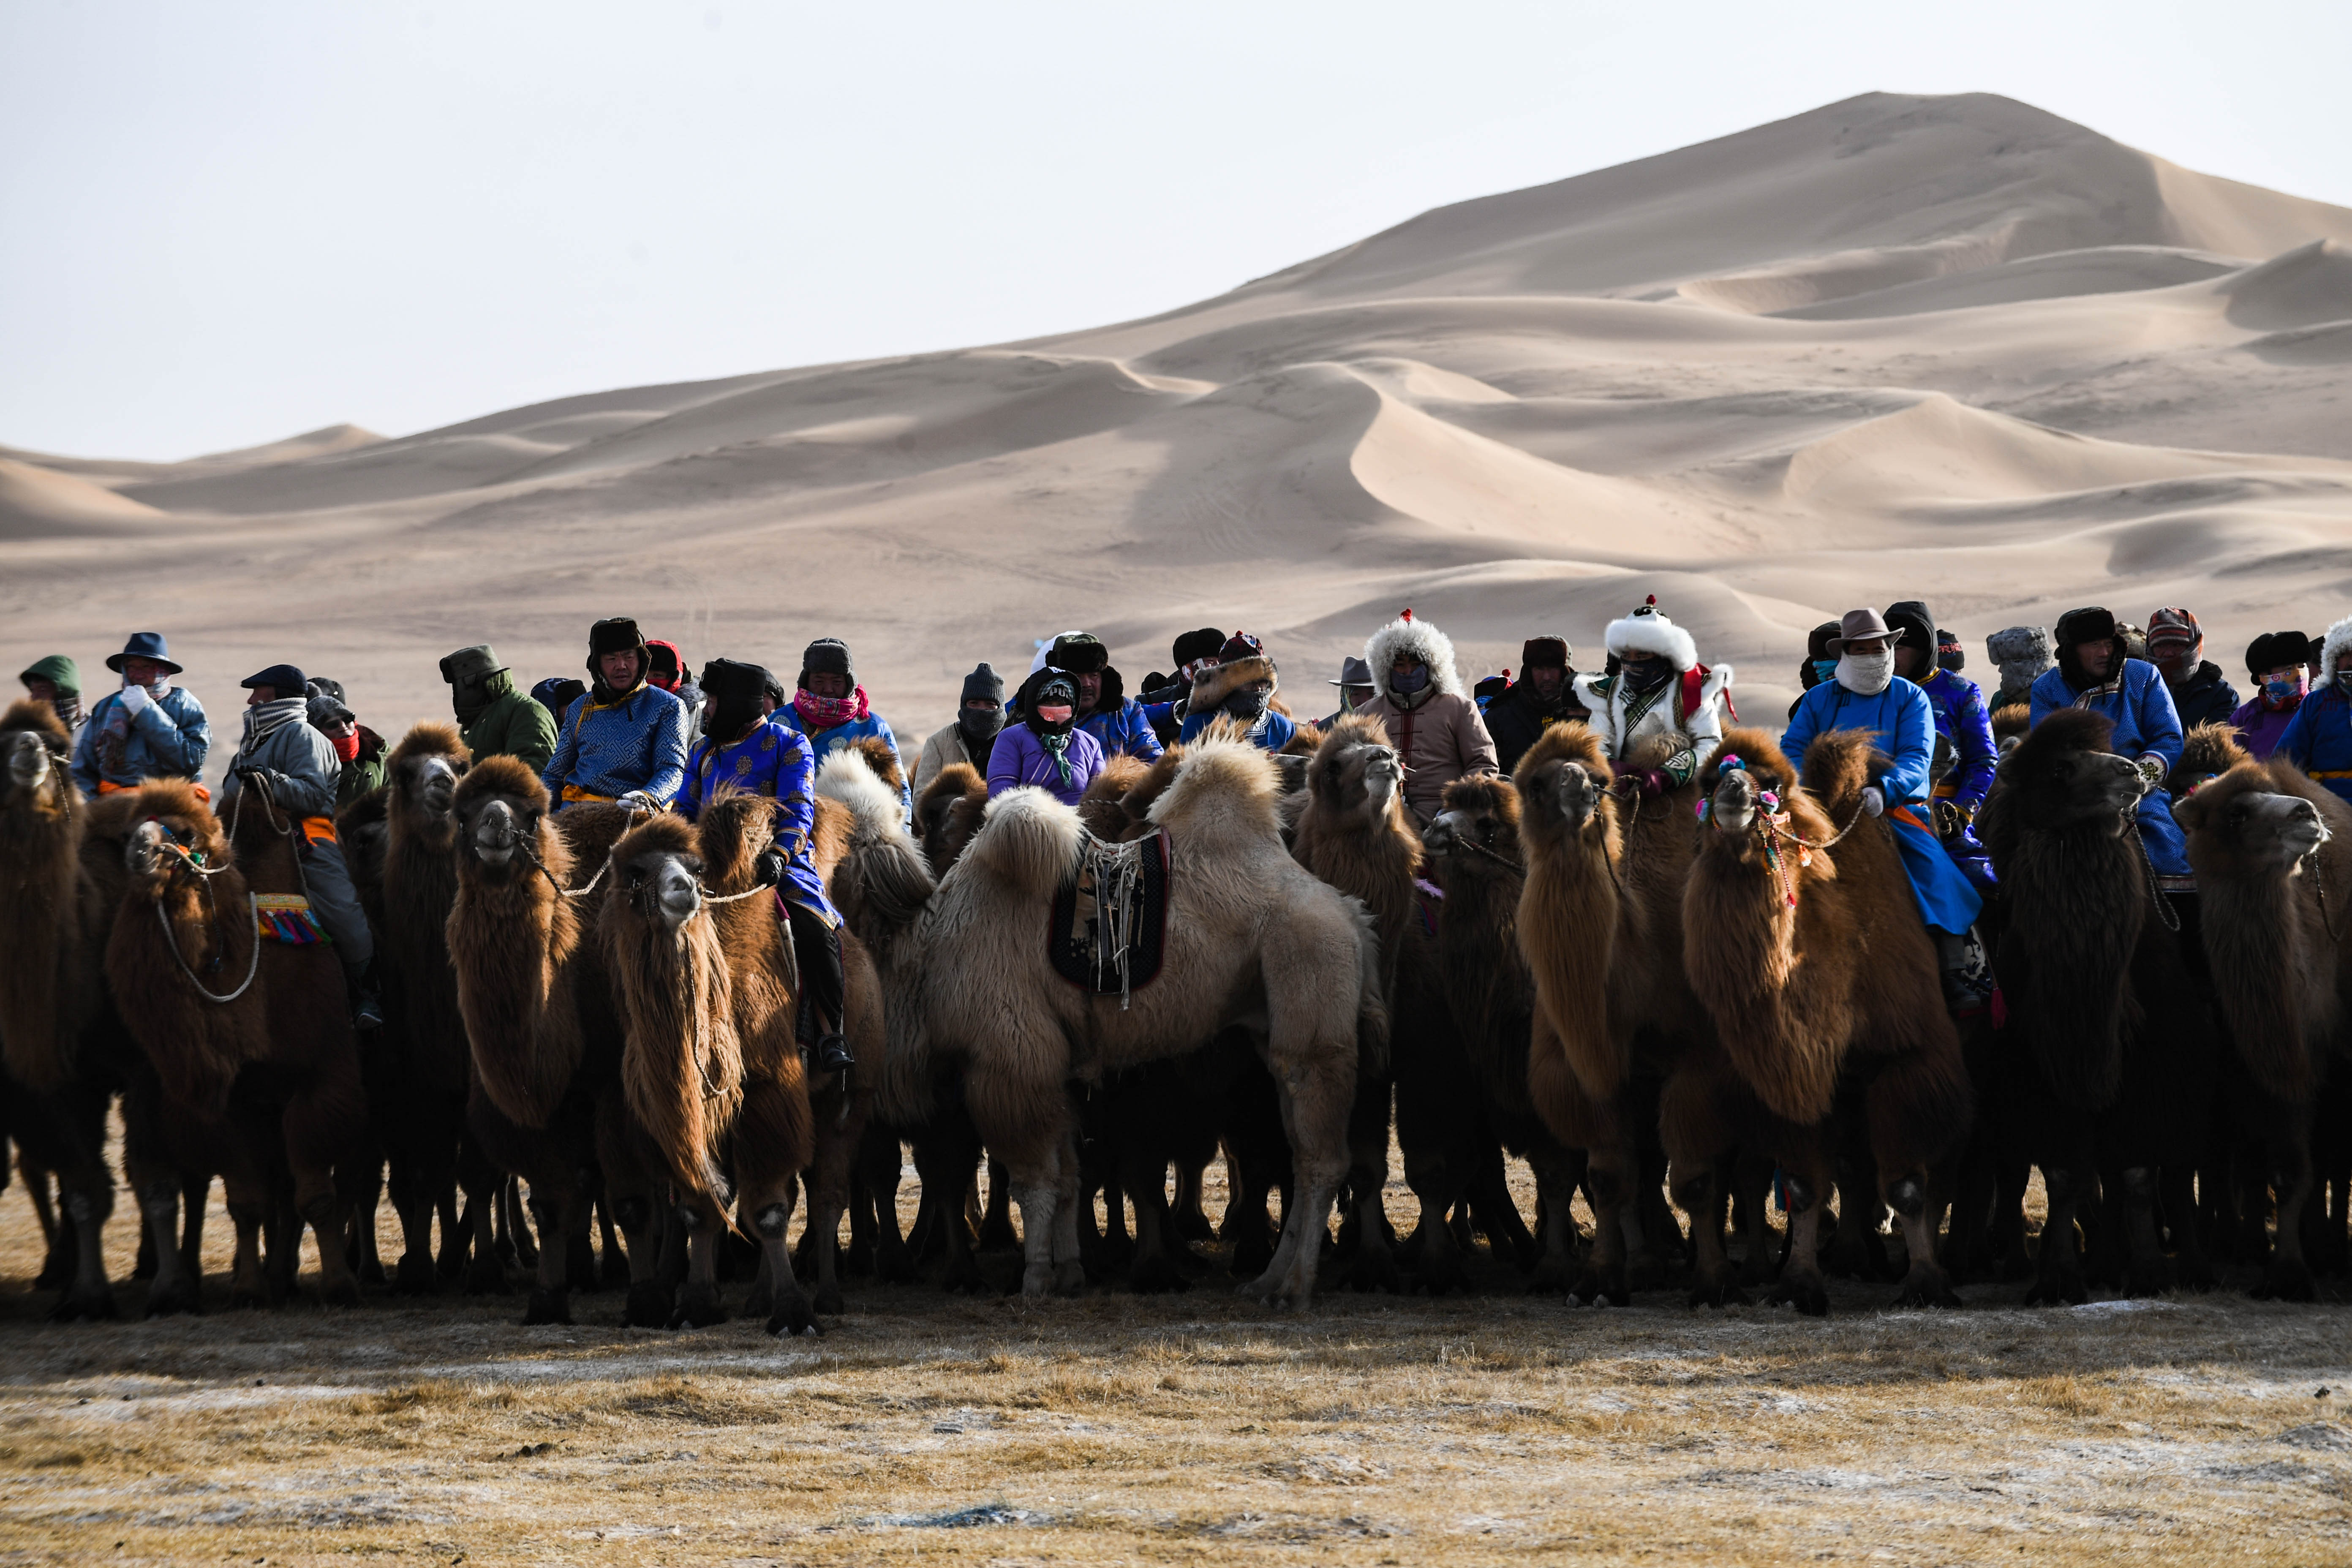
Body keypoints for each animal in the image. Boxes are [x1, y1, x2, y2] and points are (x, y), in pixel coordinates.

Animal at [823, 743, 1373, 1307]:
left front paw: (1035, 1280)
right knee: (1300, 1146)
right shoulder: (1049, 1068)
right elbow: (1068, 1174)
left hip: (1312, 982)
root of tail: (1349, 914)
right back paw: (1268, 1280)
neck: (927, 951)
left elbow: (1035, 1178)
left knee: (1321, 1157)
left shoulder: (1010, 1060)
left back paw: (1295, 1286)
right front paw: (1069, 1272)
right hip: (1270, 1020)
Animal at [1684, 729, 1976, 1316]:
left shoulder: (1909, 1058)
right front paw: (1798, 1284)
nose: (1732, 790)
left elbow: (1909, 1185)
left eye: (1771, 785)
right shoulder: (1797, 1080)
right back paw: (1854, 1255)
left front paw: (1925, 1282)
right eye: (1708, 781)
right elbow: (1802, 1185)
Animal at [2164, 752, 2352, 1298]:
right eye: (2236, 814)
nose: (2306, 814)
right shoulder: (2265, 1067)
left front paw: (2298, 1265)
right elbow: (2278, 1169)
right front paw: (2280, 1270)